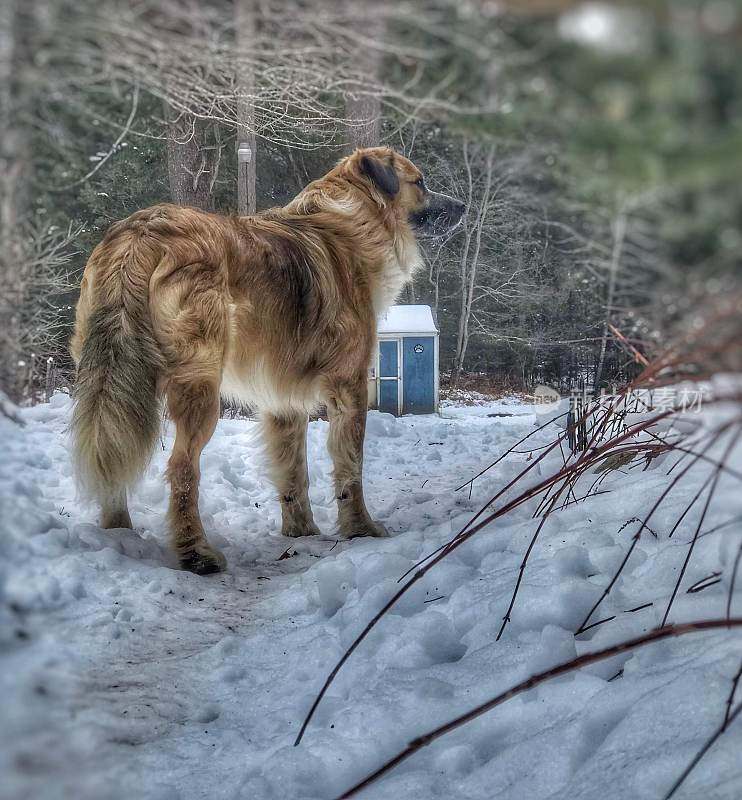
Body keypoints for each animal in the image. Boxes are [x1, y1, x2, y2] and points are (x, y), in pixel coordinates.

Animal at [70, 147, 464, 572]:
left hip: (113, 377)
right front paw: (360, 529)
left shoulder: (283, 398)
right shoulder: (350, 385)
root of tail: (142, 230)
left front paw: (302, 533)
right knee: (181, 468)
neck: (349, 223)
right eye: (420, 182)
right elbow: (350, 466)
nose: (462, 206)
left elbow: (294, 472)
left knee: (114, 448)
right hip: (199, 385)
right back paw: (195, 552)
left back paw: (119, 531)